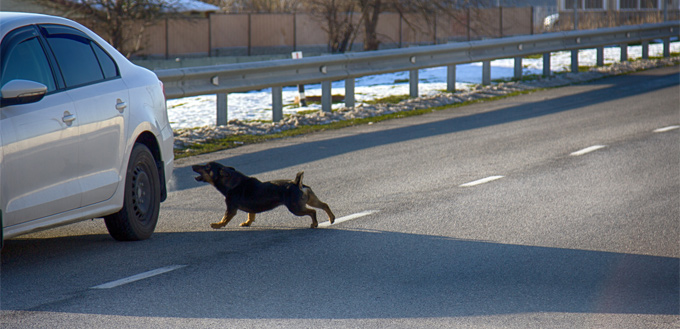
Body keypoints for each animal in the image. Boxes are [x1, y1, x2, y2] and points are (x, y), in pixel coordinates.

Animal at [193, 161, 336, 228]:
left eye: (207, 167)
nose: (193, 166)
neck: (231, 182)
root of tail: (297, 183)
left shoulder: (231, 208)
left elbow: (225, 218)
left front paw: (217, 225)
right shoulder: (250, 208)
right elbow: (251, 216)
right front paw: (247, 223)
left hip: (296, 208)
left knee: (313, 212)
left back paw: (314, 224)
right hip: (310, 199)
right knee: (324, 205)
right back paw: (331, 218)